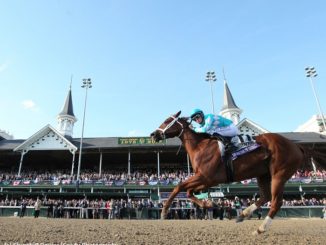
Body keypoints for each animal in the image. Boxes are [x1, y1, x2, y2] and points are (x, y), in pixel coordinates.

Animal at [150, 111, 326, 235]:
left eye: (167, 121)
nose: (153, 134)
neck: (200, 147)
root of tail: (296, 146)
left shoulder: (206, 177)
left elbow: (179, 187)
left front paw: (164, 212)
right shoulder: (206, 180)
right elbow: (188, 191)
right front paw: (209, 204)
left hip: (279, 174)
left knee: (276, 202)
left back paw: (260, 228)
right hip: (263, 174)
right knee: (265, 197)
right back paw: (243, 214)